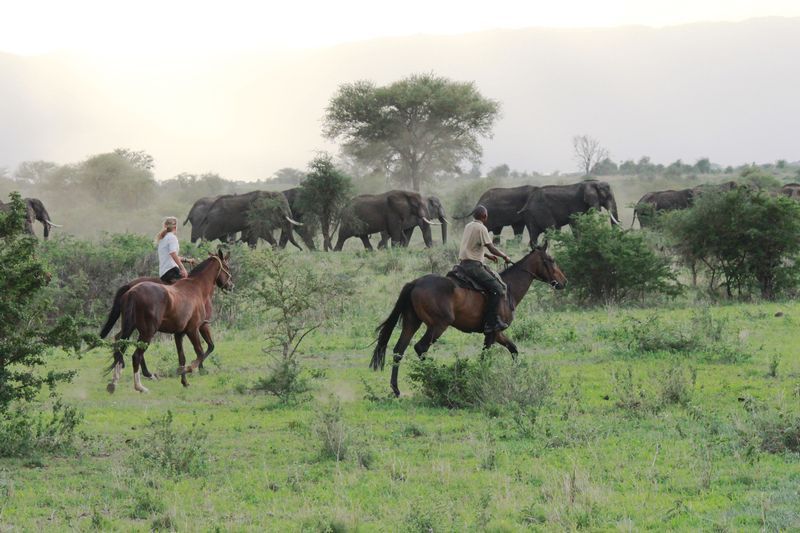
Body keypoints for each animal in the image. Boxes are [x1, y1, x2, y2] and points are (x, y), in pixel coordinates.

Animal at [104, 251, 233, 392]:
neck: (196, 288)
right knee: (136, 355)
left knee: (120, 345)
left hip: (130, 328)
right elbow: (201, 351)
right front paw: (191, 369)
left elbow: (182, 357)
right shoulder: (195, 329)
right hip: (147, 333)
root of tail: (132, 291)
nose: (231, 285)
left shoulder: (179, 334)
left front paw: (185, 381)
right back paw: (140, 385)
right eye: (227, 267)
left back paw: (115, 379)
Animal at [372, 241, 564, 394]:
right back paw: (430, 377)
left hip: (412, 323)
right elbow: (485, 357)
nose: (564, 282)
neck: (508, 289)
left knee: (399, 350)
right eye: (551, 260)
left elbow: (513, 349)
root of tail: (416, 283)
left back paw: (396, 389)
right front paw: (481, 377)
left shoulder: (497, 332)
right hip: (438, 326)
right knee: (421, 347)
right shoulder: (492, 333)